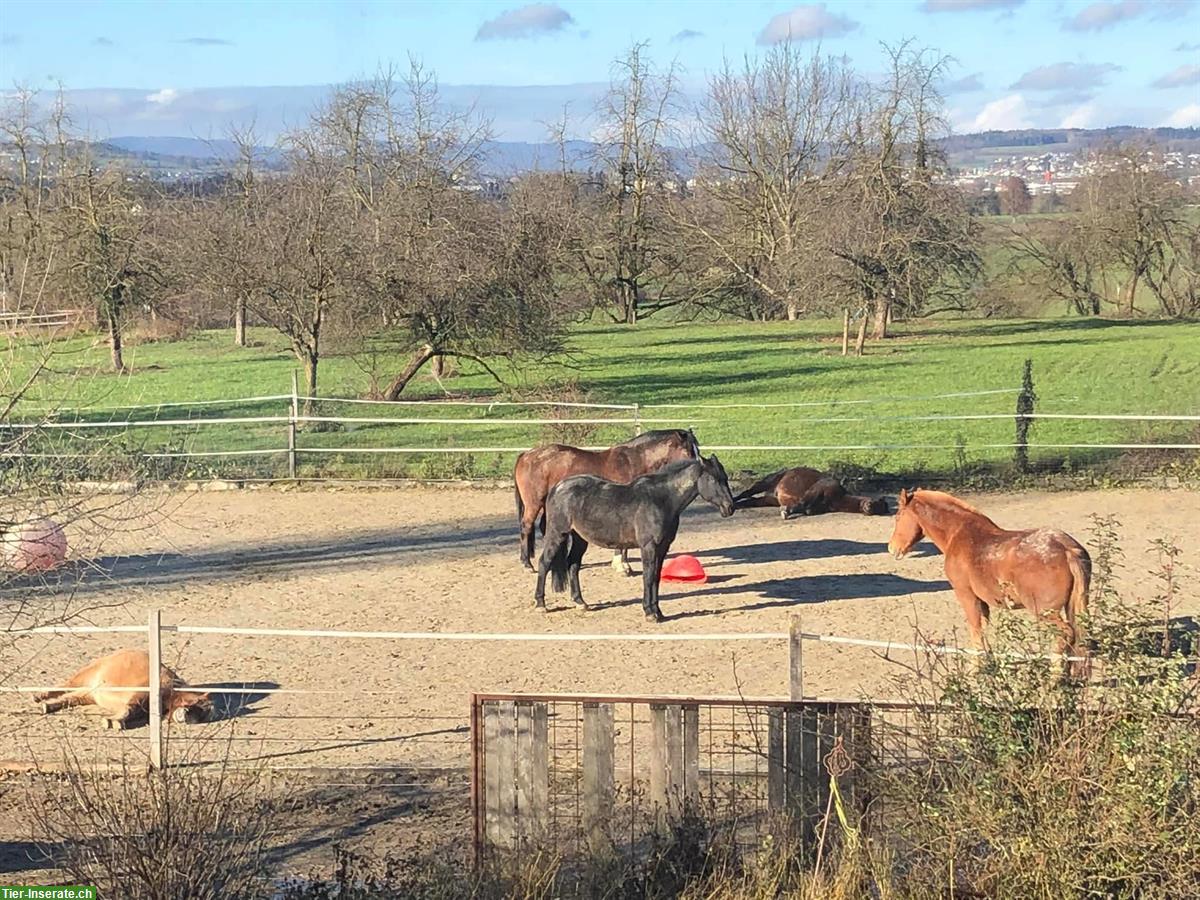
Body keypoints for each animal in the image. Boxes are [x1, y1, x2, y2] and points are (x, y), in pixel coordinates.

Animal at [34, 652, 213, 729]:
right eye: (200, 702)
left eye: (204, 713)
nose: (189, 716)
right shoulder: (138, 697)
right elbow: (128, 710)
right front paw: (110, 722)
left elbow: (131, 713)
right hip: (83, 675)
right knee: (65, 685)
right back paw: (38, 696)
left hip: (90, 693)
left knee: (70, 698)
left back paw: (46, 706)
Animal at [511, 427, 700, 571]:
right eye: (688, 450)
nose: (700, 465)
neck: (633, 461)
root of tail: (526, 455)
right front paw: (622, 566)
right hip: (534, 503)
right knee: (526, 526)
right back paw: (527, 563)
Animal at [540, 460, 734, 624]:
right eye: (713, 478)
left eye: (724, 477)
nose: (730, 507)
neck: (661, 499)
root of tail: (557, 487)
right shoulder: (648, 547)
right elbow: (648, 577)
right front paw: (650, 613)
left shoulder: (663, 548)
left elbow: (656, 577)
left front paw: (659, 612)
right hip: (557, 534)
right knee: (545, 562)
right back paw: (541, 604)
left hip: (580, 539)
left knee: (573, 565)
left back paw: (580, 602)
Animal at [729, 468, 892, 518]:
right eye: (876, 501)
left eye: (880, 509)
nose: (869, 507)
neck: (837, 498)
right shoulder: (815, 491)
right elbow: (801, 504)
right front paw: (785, 512)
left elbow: (806, 509)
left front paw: (786, 511)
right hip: (767, 482)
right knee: (747, 493)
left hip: (768, 499)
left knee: (749, 501)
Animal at [888, 489, 1094, 667]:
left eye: (898, 517)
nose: (891, 548)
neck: (959, 533)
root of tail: (1066, 549)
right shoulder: (983, 602)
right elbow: (984, 631)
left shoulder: (967, 596)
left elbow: (976, 632)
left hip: (1045, 612)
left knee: (1064, 634)